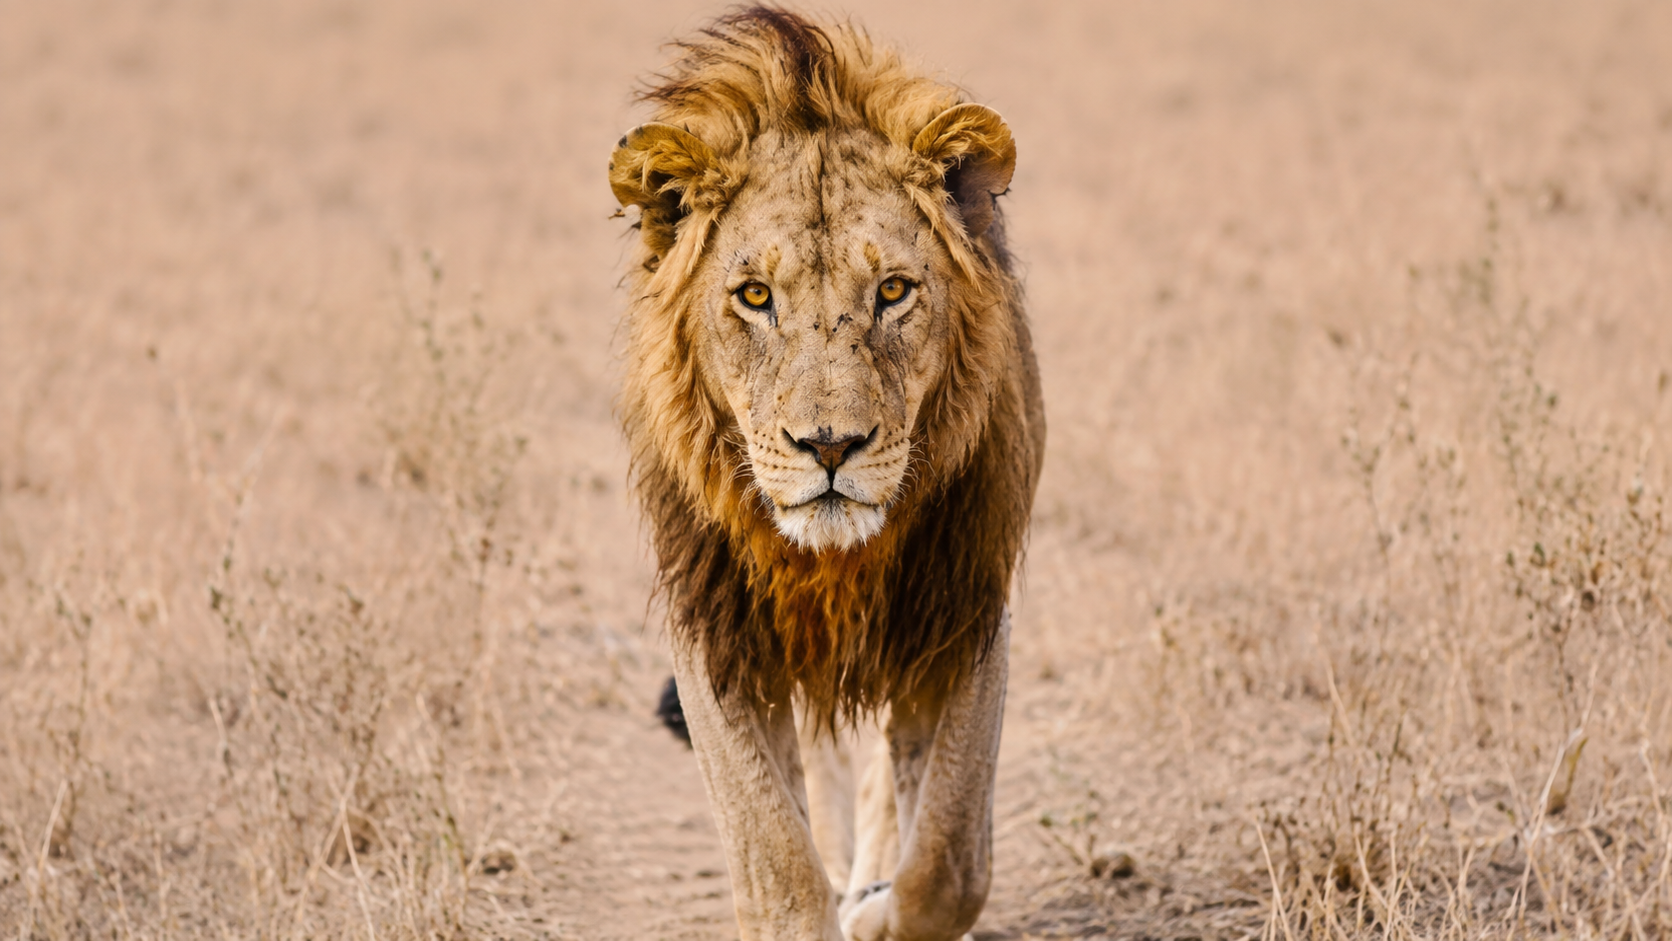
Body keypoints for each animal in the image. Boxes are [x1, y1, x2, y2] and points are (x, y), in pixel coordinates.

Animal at [608, 8, 1044, 939]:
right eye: (754, 296)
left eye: (893, 290)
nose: (832, 445)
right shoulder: (716, 628)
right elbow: (774, 861)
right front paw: (825, 898)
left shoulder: (963, 611)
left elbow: (950, 859)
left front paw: (878, 907)